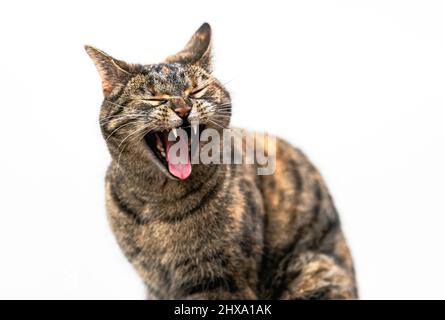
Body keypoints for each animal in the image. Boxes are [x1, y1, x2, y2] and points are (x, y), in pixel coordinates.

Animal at [85, 23, 358, 300]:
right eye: (155, 99)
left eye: (195, 92)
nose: (183, 109)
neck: (160, 203)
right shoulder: (156, 284)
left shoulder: (222, 279)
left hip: (312, 267)